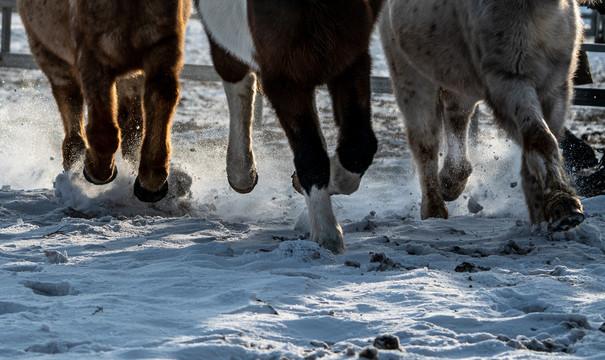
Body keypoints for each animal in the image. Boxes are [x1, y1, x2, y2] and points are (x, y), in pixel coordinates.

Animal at [18, 0, 190, 202]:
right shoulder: (92, 57)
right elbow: (104, 131)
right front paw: (93, 167)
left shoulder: (163, 47)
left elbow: (162, 99)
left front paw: (151, 181)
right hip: (51, 57)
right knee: (71, 105)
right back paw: (75, 165)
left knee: (131, 124)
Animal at [196, 0, 384, 253]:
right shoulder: (283, 78)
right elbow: (311, 156)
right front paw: (327, 236)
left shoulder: (349, 60)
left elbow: (359, 147)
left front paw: (327, 182)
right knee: (236, 80)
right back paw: (242, 173)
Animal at [382, 0, 584, 231]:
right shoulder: (508, 80)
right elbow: (540, 138)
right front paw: (562, 206)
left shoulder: (556, 88)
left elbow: (545, 140)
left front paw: (541, 213)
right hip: (413, 79)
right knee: (425, 143)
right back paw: (434, 210)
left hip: (459, 79)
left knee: (456, 117)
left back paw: (451, 182)